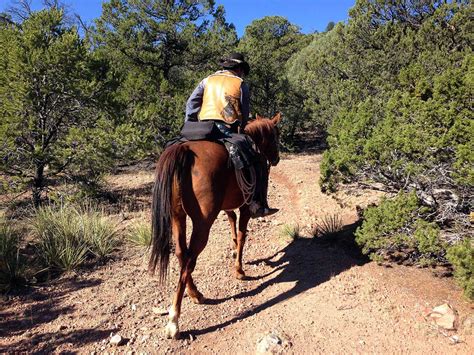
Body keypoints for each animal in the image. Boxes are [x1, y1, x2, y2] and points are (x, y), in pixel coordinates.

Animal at [149, 113, 282, 340]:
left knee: (181, 254)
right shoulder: (246, 206)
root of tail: (184, 151)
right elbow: (242, 234)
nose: (276, 158)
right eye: (275, 135)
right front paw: (239, 270)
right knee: (189, 259)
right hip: (203, 222)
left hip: (177, 217)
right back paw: (174, 321)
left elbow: (232, 225)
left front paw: (234, 251)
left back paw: (195, 294)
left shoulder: (227, 207)